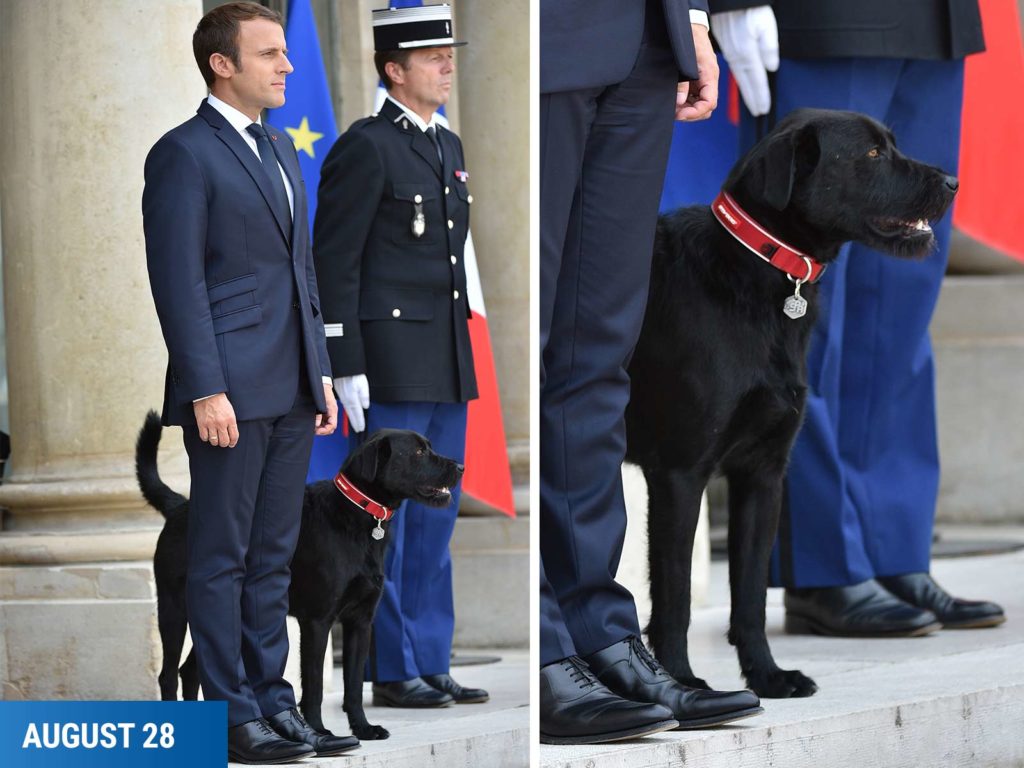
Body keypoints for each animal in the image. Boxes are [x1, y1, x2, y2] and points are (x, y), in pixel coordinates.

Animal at [135, 415, 460, 741]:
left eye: (428, 446)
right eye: (418, 452)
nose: (460, 467)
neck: (356, 515)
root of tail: (179, 506)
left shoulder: (360, 622)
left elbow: (354, 685)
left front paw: (363, 728)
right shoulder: (317, 621)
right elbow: (314, 685)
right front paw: (320, 732)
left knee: (191, 670)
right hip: (175, 610)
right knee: (168, 675)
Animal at [622, 109, 958, 704]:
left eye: (891, 144)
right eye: (872, 154)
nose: (953, 183)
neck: (758, 267)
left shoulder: (762, 474)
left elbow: (752, 594)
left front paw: (767, 677)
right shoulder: (680, 475)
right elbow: (676, 596)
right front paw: (686, 685)